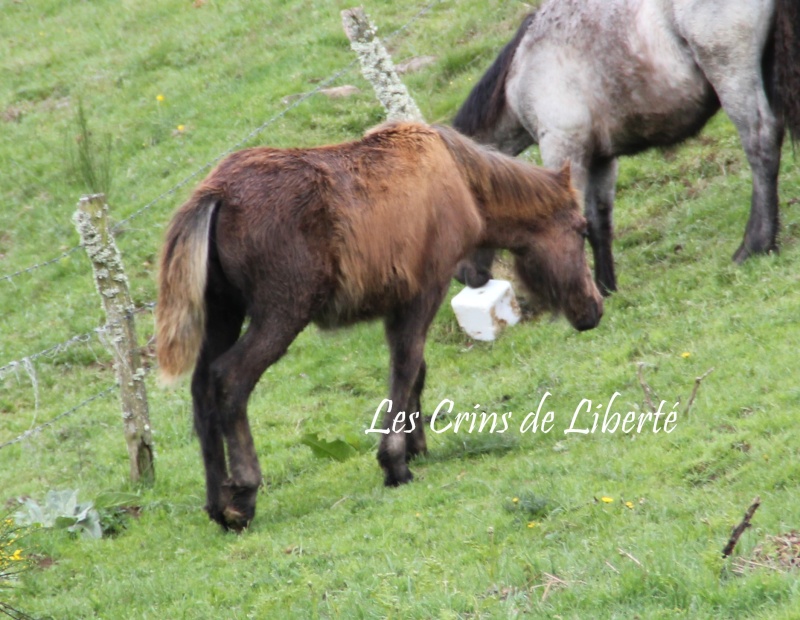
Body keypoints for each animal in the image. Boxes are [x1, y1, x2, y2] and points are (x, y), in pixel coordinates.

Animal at [156, 122, 604, 532]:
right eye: (581, 229)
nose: (593, 308)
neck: (467, 190)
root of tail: (214, 196)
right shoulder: (425, 289)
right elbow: (404, 369)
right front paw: (394, 463)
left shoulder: (398, 302)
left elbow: (416, 372)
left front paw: (415, 445)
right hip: (281, 311)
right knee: (230, 379)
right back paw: (243, 497)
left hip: (223, 312)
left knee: (200, 389)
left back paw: (217, 502)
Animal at [454, 0, 800, 296]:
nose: (463, 276)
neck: (524, 68)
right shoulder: (600, 158)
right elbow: (597, 222)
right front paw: (606, 287)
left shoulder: (562, 148)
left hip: (731, 73)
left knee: (760, 144)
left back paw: (755, 245)